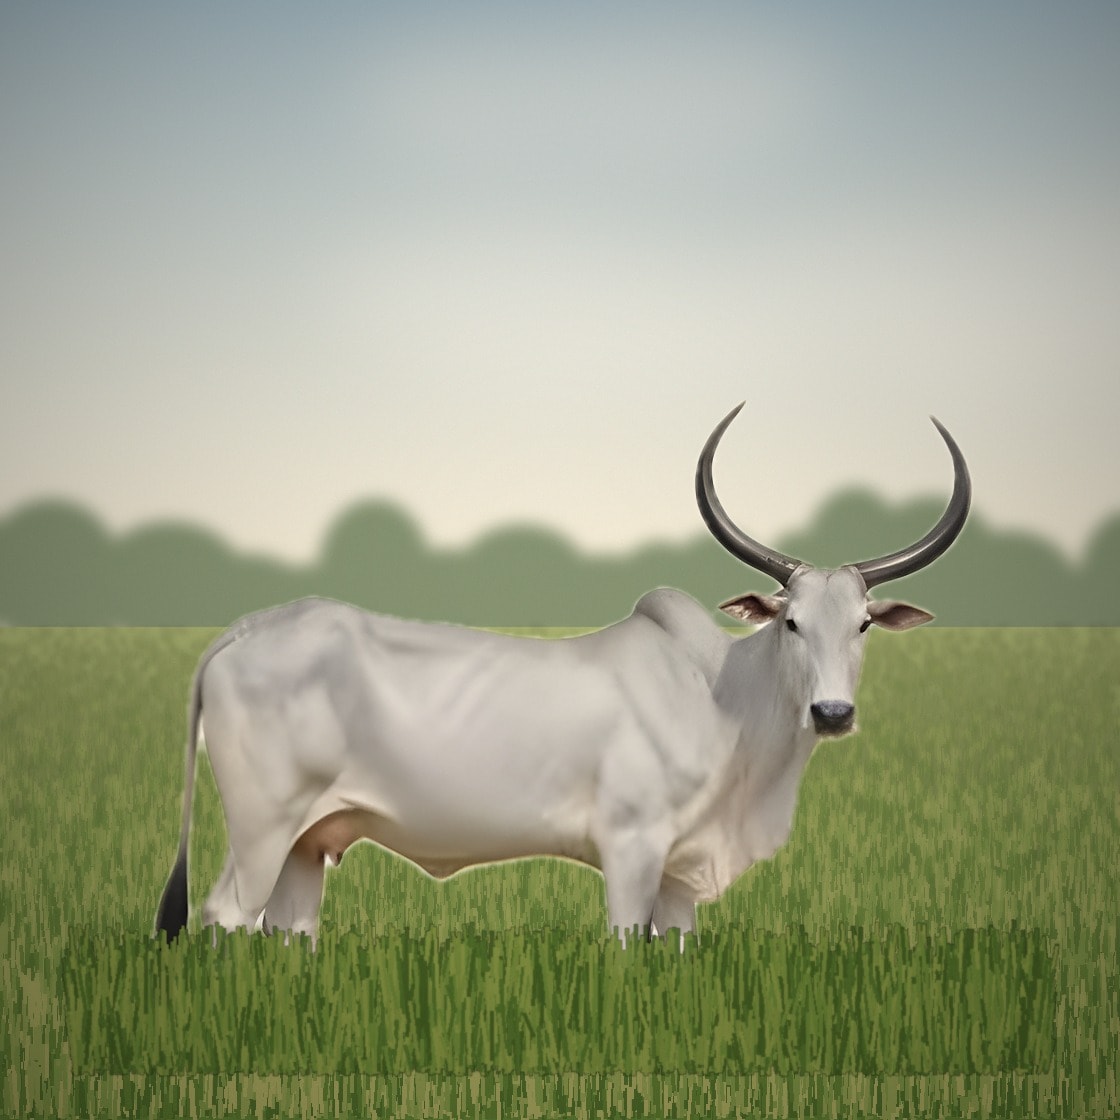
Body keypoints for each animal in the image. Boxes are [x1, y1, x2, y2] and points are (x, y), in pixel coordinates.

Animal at [155, 403, 970, 947]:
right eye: (792, 622)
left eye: (862, 624)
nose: (832, 713)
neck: (721, 701)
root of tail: (246, 630)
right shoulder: (632, 852)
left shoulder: (679, 878)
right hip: (260, 829)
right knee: (224, 918)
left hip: (305, 843)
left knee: (290, 931)